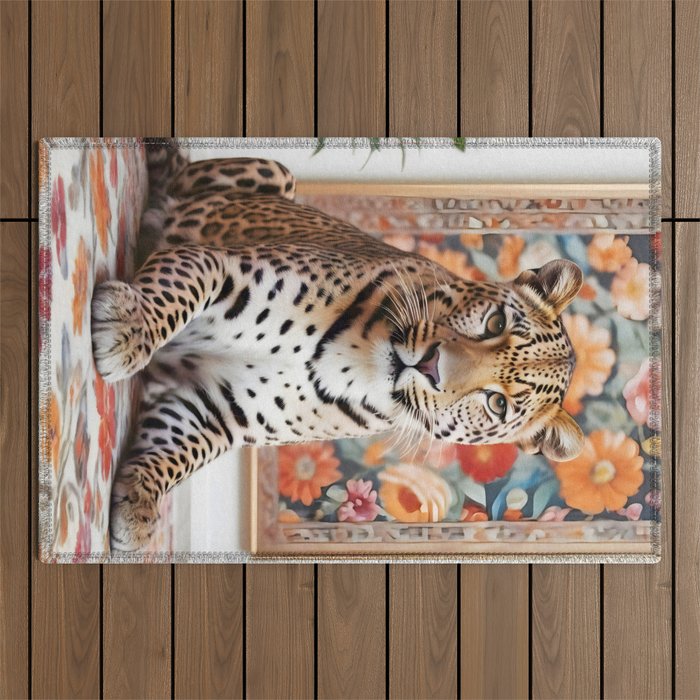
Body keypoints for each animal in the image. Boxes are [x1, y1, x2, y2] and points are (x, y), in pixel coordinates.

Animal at [92, 144, 585, 551]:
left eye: (498, 404)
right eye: (496, 322)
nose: (431, 366)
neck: (358, 362)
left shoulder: (219, 408)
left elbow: (177, 452)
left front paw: (139, 506)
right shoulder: (225, 266)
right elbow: (180, 290)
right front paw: (127, 328)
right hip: (279, 172)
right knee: (176, 181)